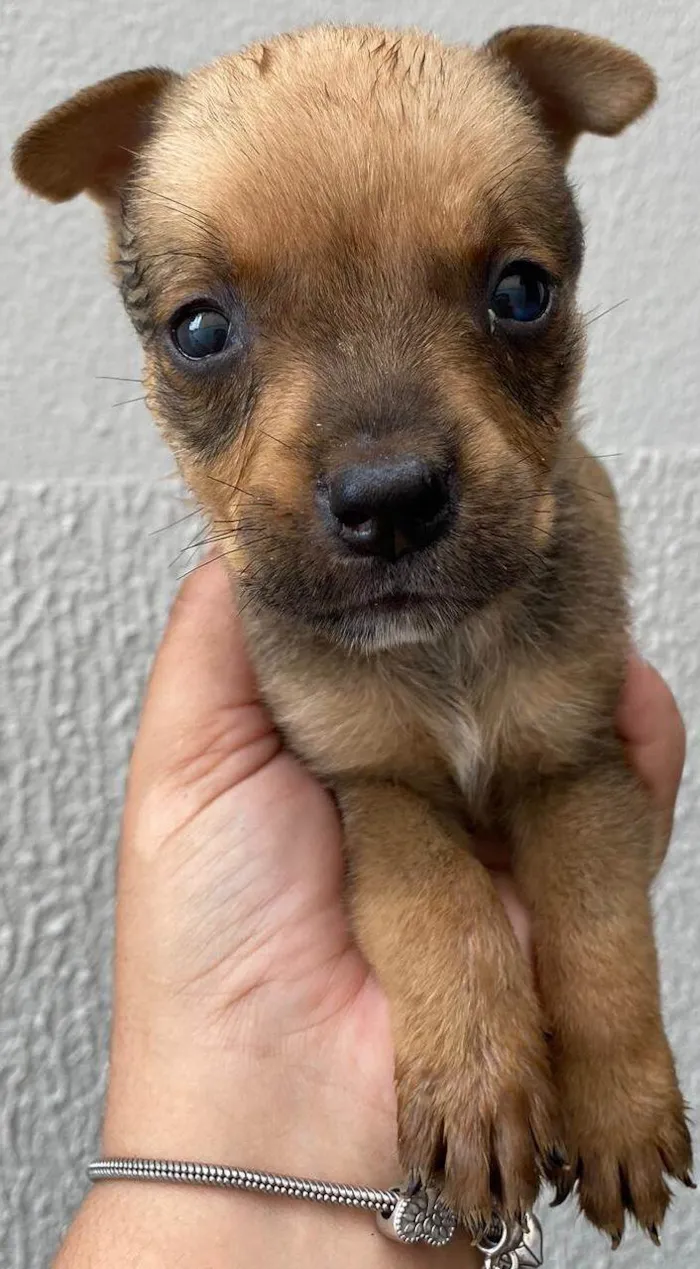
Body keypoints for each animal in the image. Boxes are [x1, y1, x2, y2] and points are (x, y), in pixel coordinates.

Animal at [12, 22, 694, 1248]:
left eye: (522, 293)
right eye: (199, 329)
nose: (390, 500)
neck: (443, 651)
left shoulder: (576, 759)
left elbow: (596, 922)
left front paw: (618, 1103)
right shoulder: (366, 787)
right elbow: (441, 903)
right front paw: (477, 1086)